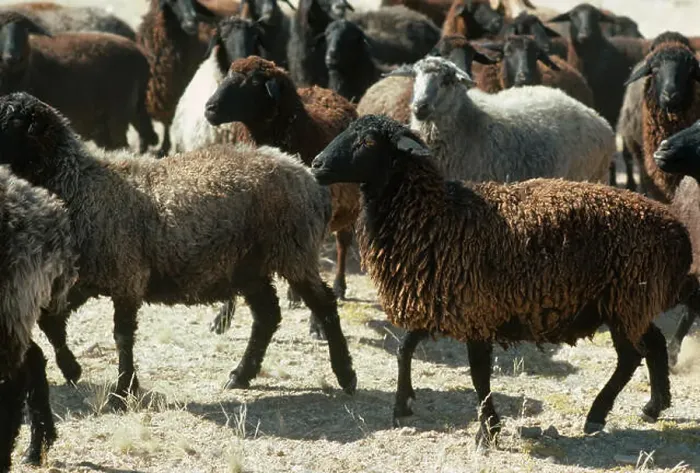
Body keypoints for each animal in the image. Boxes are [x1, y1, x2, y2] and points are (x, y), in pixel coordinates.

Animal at [0, 91, 358, 407]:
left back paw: (345, 376)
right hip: (249, 266)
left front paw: (122, 391)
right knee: (268, 315)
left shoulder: (127, 275)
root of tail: (307, 175)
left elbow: (122, 338)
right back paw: (241, 375)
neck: (81, 184)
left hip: (293, 250)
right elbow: (50, 322)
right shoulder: (86, 278)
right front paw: (73, 369)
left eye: (9, 120)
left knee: (324, 305)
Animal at [204, 57, 360, 311]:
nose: (209, 109)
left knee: (342, 243)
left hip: (348, 205)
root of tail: (324, 89)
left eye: (254, 81)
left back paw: (339, 286)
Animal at [310, 113, 694, 442]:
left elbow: (479, 374)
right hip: (631, 302)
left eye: (369, 141)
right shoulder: (438, 299)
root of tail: (676, 229)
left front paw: (488, 429)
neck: (435, 214)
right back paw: (653, 406)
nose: (315, 164)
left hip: (625, 297)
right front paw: (402, 405)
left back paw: (597, 414)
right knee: (654, 342)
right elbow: (405, 348)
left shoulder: (478, 311)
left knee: (630, 357)